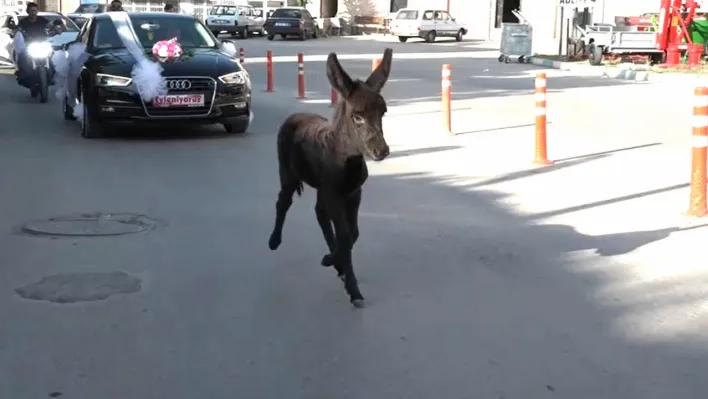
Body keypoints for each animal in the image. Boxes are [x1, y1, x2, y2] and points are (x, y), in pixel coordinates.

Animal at [268, 47, 396, 310]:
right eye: (357, 116)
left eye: (383, 112)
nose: (381, 151)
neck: (348, 156)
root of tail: (295, 114)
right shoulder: (335, 194)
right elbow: (346, 236)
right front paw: (352, 287)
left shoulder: (354, 193)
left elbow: (353, 234)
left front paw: (335, 262)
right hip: (287, 172)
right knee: (283, 201)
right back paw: (274, 241)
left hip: (322, 188)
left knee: (319, 212)